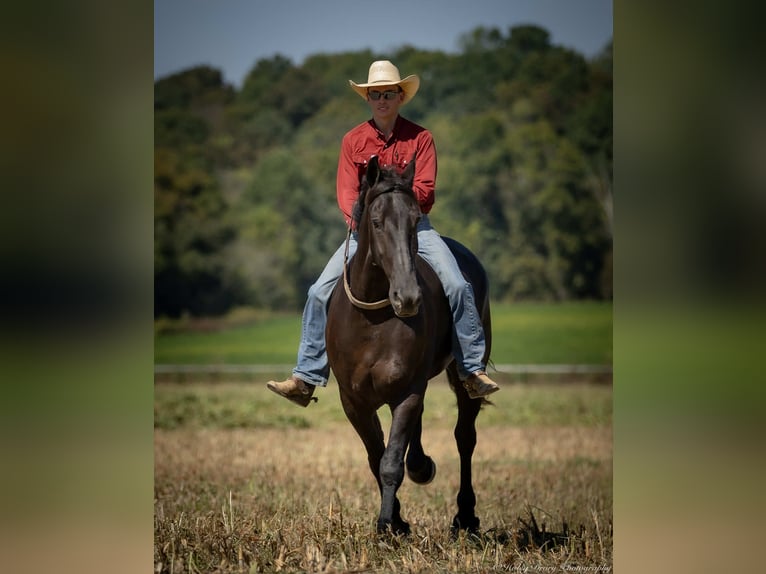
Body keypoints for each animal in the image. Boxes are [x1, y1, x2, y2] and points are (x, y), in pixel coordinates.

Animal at [325, 156, 492, 536]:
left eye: (415, 220)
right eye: (376, 222)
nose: (408, 297)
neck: (372, 320)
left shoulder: (407, 391)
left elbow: (390, 462)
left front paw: (387, 525)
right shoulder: (353, 400)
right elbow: (376, 456)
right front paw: (397, 520)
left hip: (460, 376)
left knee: (465, 437)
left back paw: (465, 517)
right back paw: (422, 466)